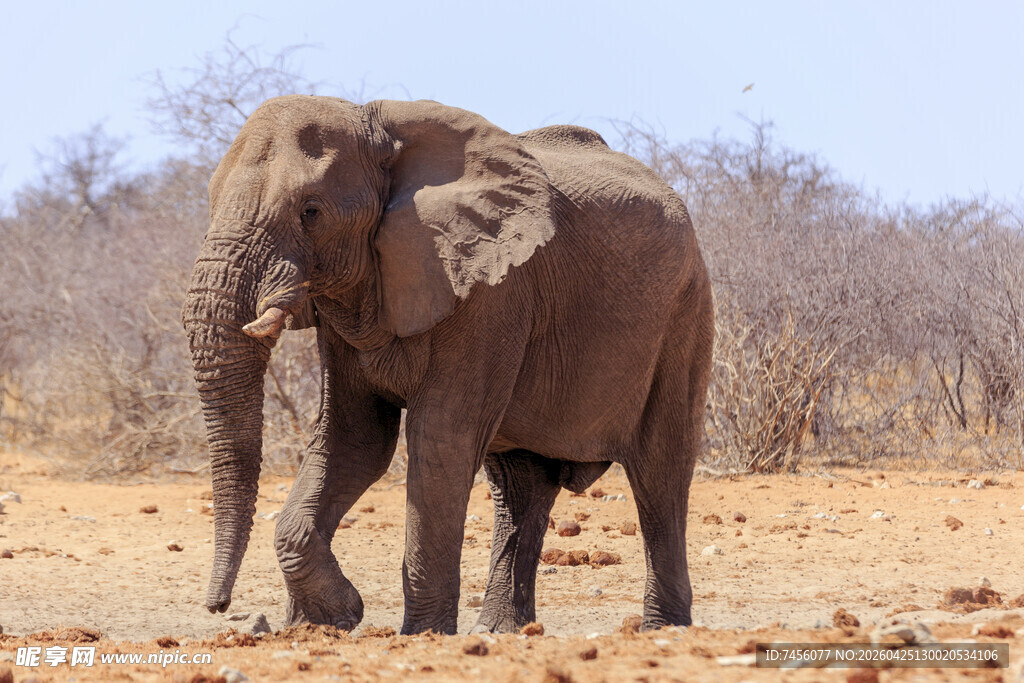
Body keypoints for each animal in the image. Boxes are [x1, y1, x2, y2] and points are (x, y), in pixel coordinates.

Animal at [182, 95, 714, 636]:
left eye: (311, 212)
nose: (217, 606)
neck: (381, 131)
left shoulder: (491, 294)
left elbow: (439, 439)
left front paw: (418, 634)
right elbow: (353, 439)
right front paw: (328, 621)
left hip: (684, 313)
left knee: (659, 472)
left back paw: (662, 629)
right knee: (520, 486)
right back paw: (500, 631)